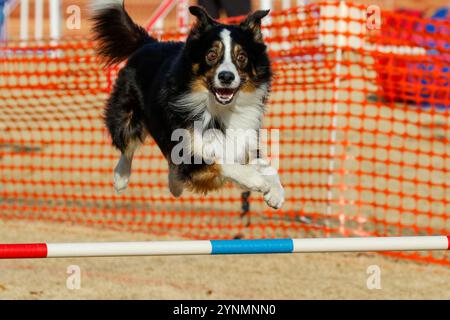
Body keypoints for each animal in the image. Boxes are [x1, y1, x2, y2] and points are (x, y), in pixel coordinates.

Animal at [89, 0, 284, 209]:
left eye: (241, 57)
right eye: (211, 55)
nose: (226, 77)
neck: (220, 108)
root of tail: (150, 43)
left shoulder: (244, 139)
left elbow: (265, 164)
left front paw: (276, 193)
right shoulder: (188, 151)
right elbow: (220, 160)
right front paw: (256, 180)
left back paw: (174, 184)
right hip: (127, 115)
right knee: (127, 144)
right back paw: (121, 178)